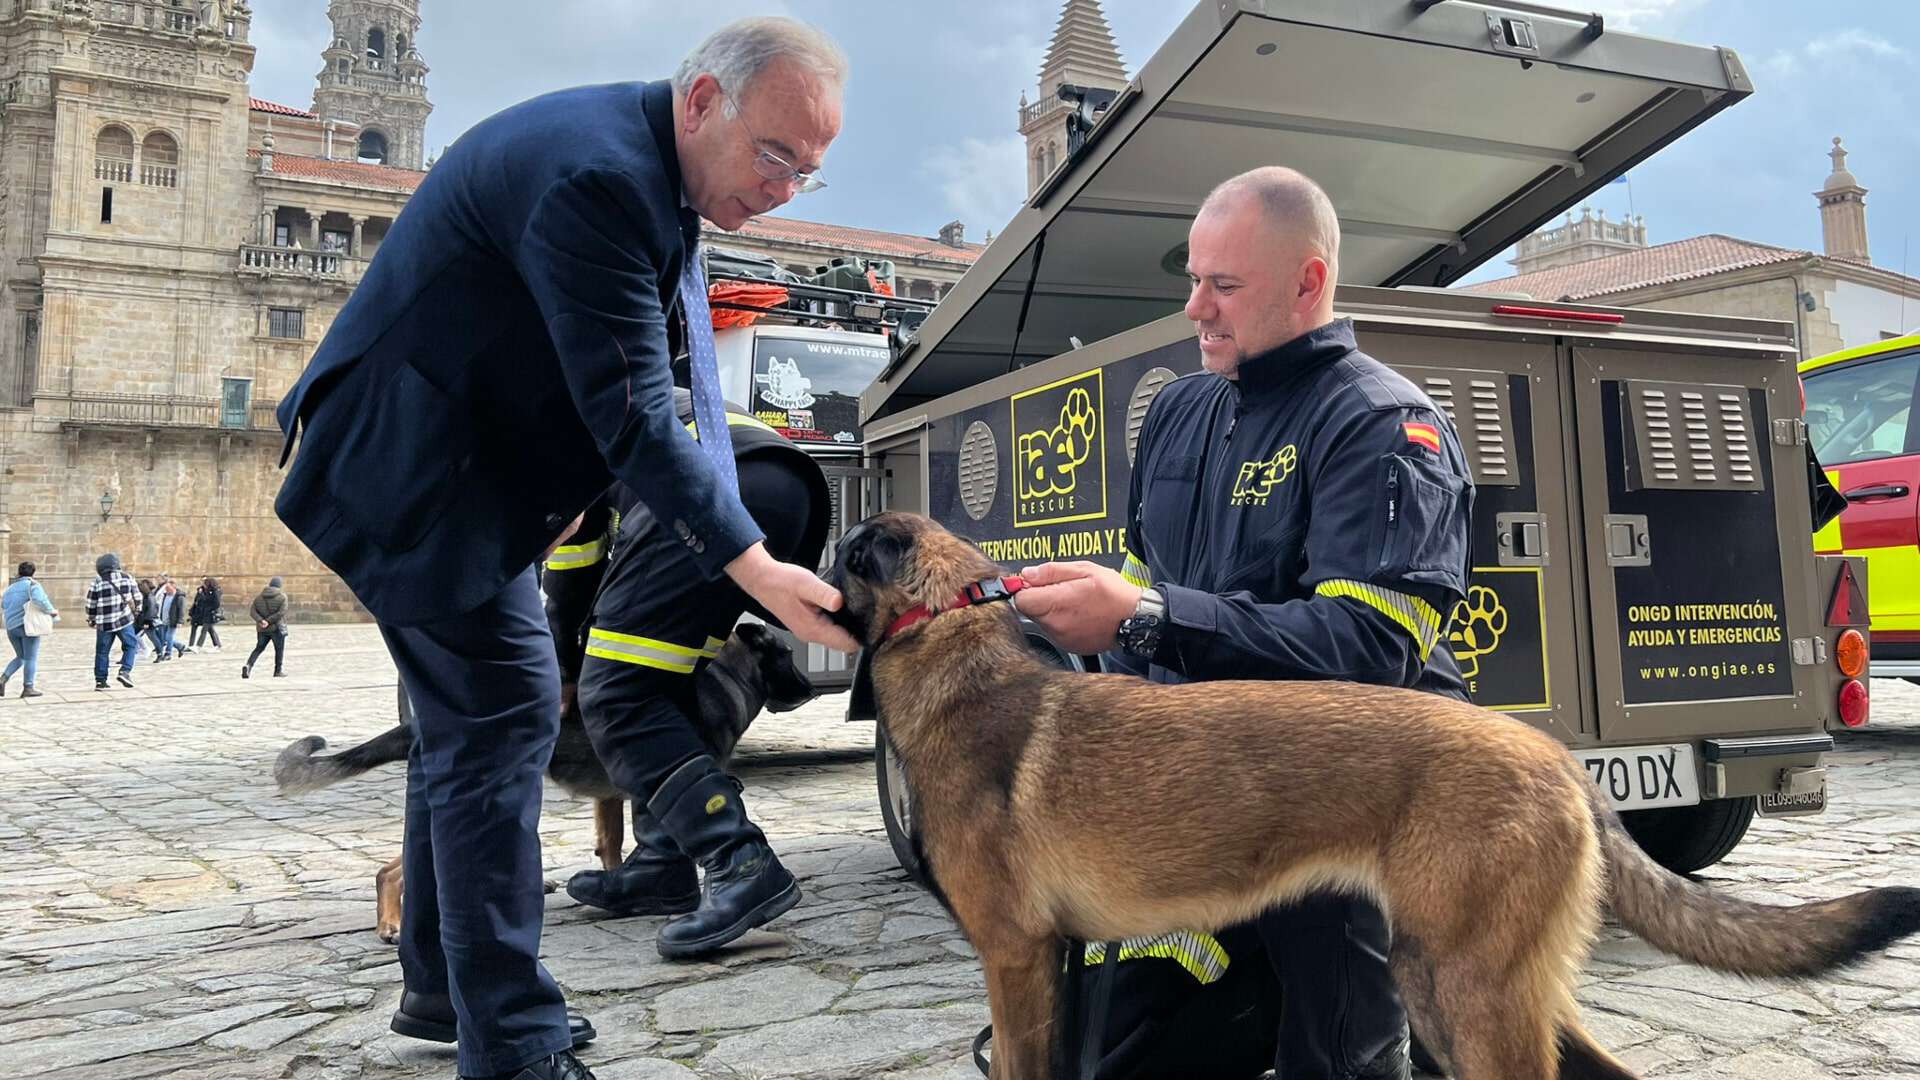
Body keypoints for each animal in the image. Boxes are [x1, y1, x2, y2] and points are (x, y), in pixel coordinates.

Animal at [268, 618, 810, 937]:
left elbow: (614, 845)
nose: (807, 687)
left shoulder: (613, 797)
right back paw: (394, 923)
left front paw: (617, 886)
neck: (728, 676)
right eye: (787, 654)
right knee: (390, 871)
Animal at [829, 511, 1920, 1076]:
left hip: (1462, 992)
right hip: (1472, 990)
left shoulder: (1015, 963)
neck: (958, 648)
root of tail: (1556, 757)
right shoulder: (1049, 965)